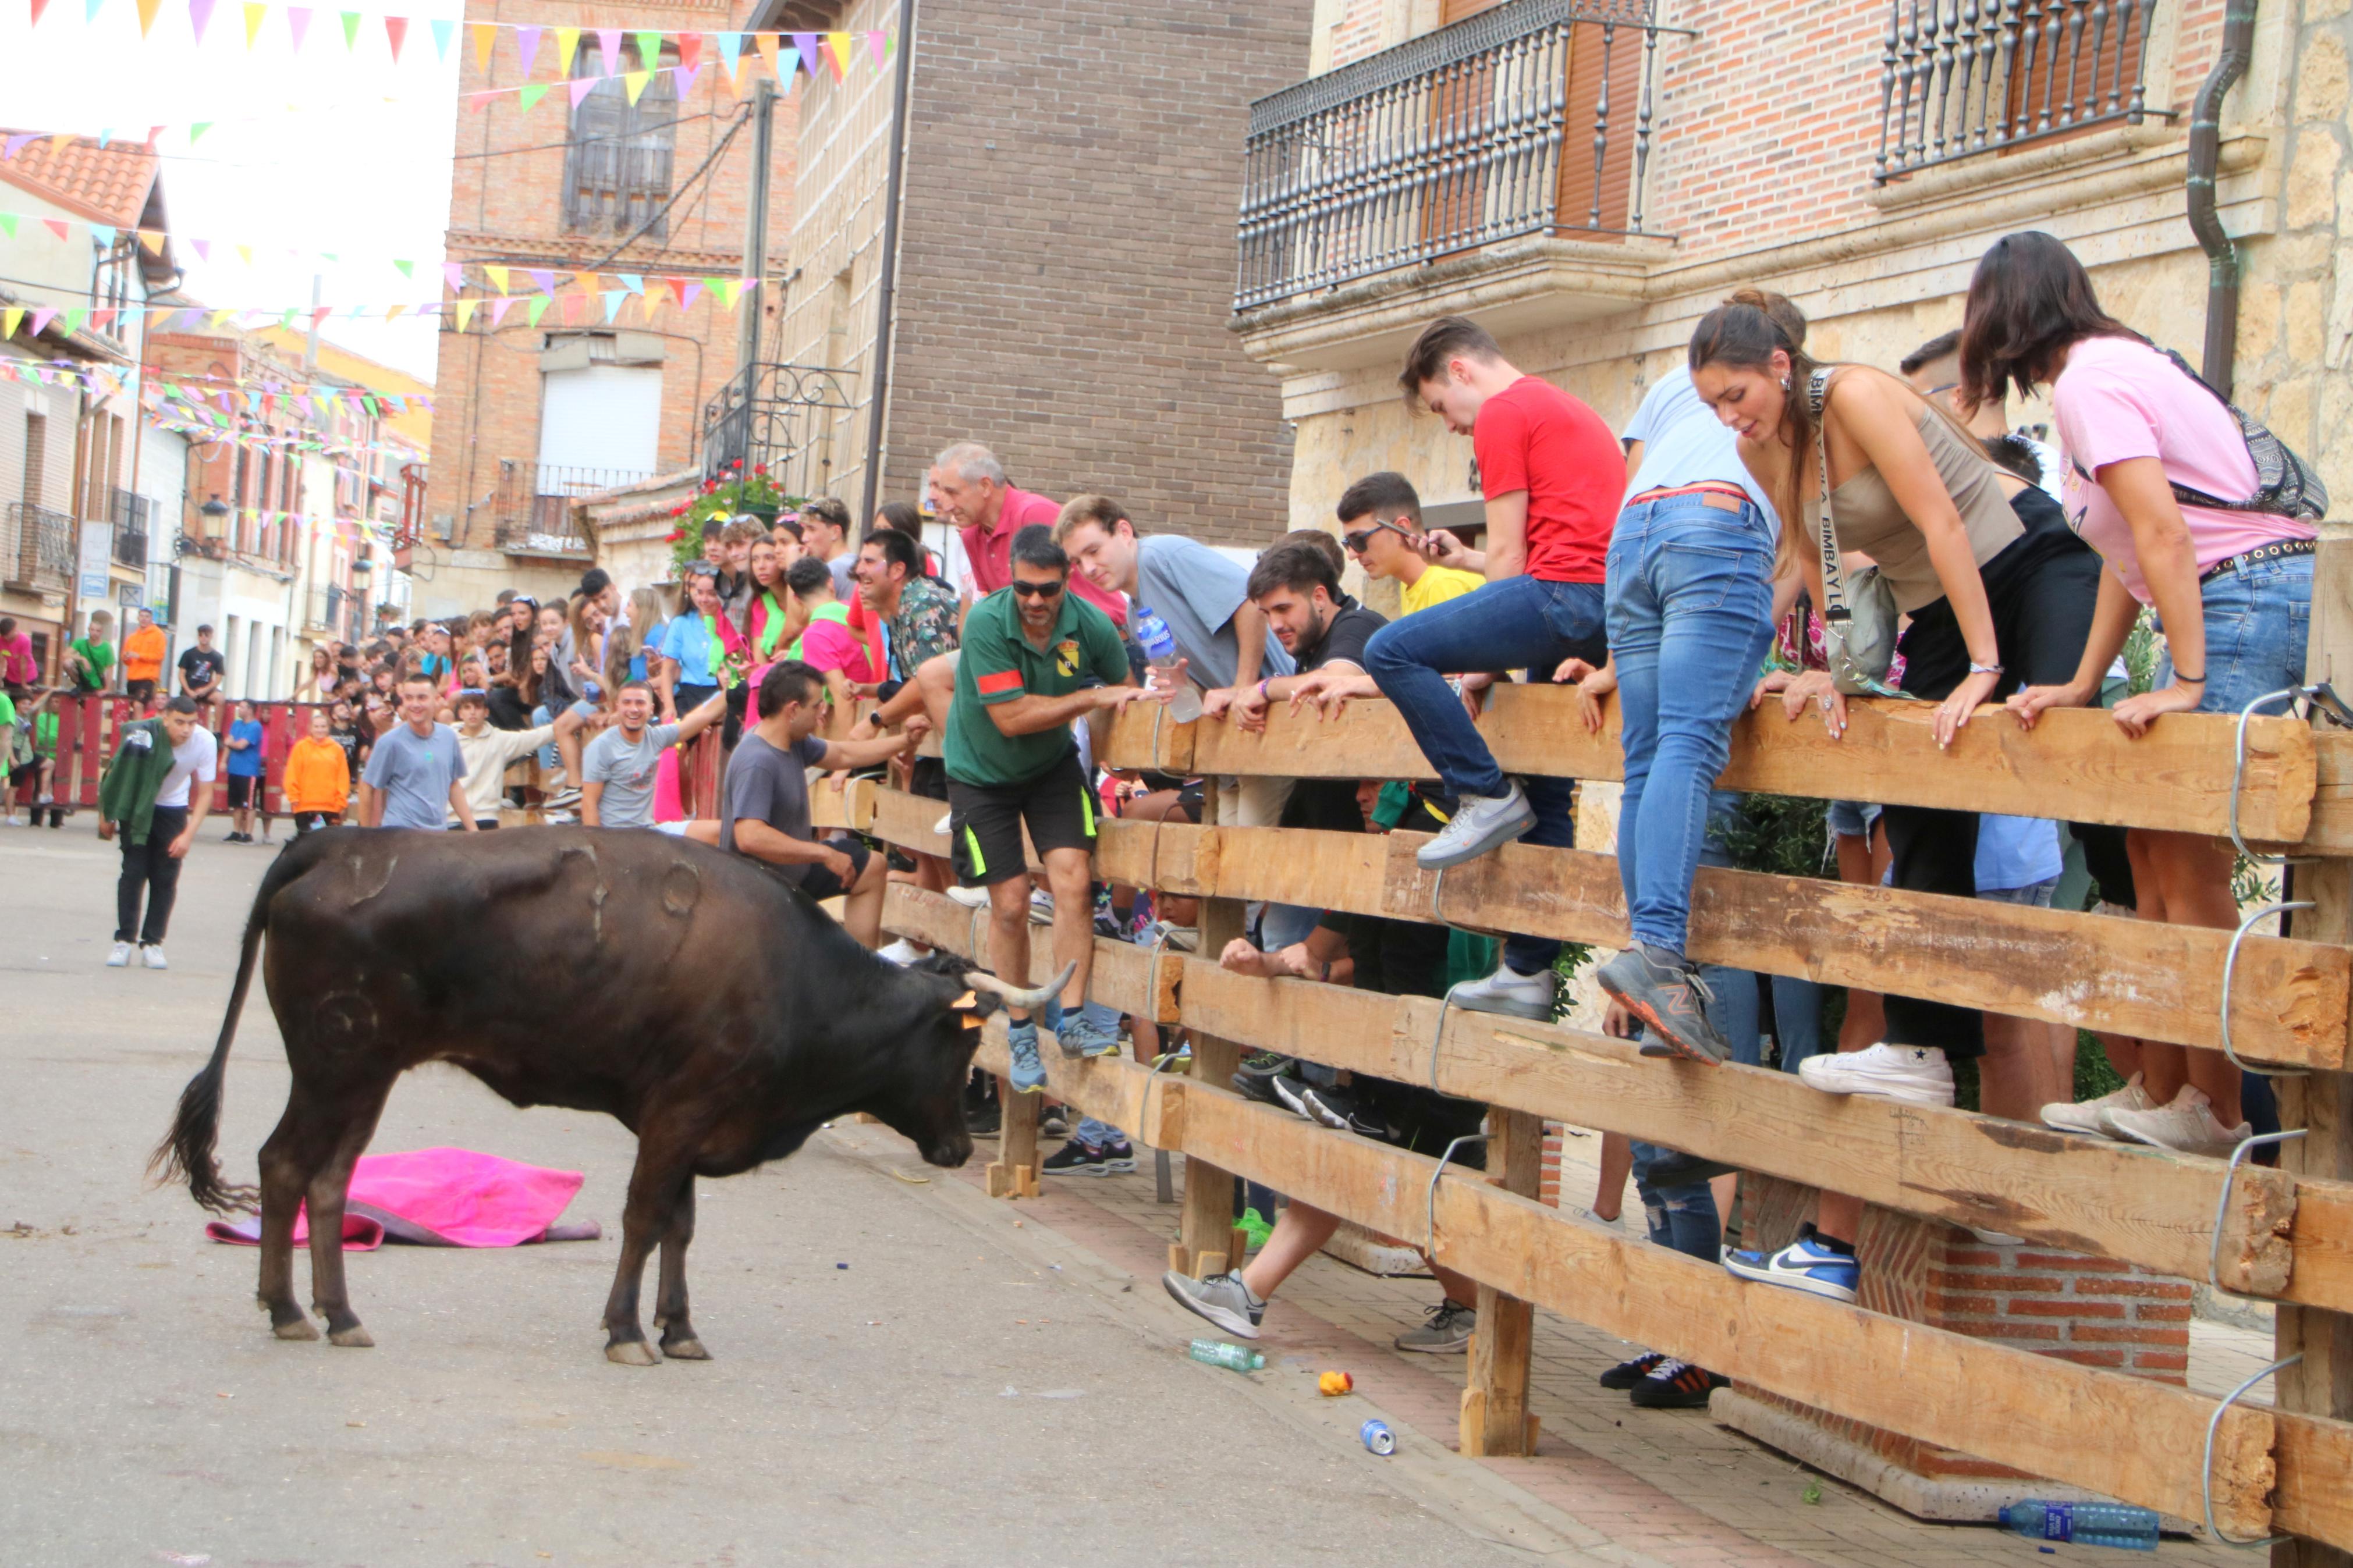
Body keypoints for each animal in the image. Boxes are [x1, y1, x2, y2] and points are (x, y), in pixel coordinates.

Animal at [151, 832, 1063, 1363]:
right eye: (960, 1042)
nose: (957, 1147)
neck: (798, 979)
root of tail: (340, 842)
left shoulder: (693, 1120)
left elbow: (679, 1225)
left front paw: (679, 1325)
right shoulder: (678, 1114)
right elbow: (642, 1216)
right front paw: (627, 1328)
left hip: (361, 1074)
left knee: (331, 1179)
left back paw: (334, 1311)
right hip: (339, 1063)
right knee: (286, 1164)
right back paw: (289, 1309)